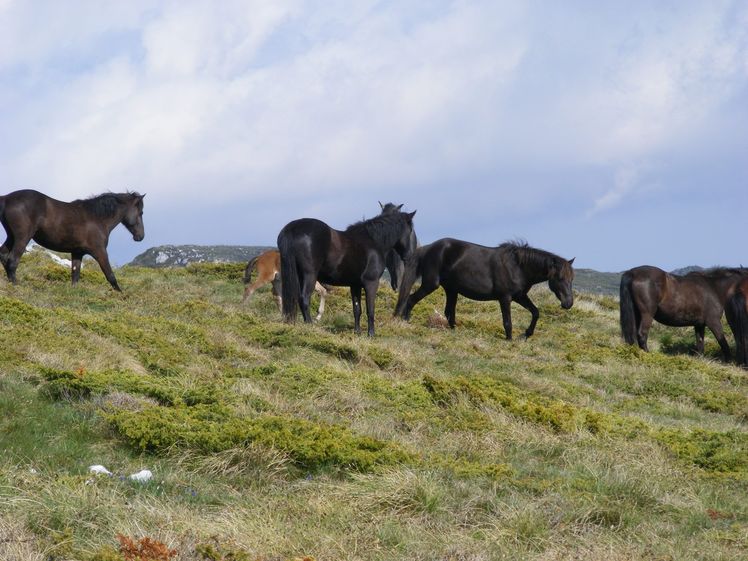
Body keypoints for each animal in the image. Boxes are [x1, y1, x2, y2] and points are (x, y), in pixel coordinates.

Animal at [0, 190, 145, 290]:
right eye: (141, 212)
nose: (141, 236)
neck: (97, 218)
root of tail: (6, 198)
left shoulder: (77, 253)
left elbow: (75, 276)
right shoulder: (100, 252)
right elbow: (110, 276)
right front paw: (122, 295)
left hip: (11, 237)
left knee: (4, 256)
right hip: (22, 238)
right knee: (12, 261)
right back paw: (16, 284)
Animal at [276, 208, 414, 334]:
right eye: (411, 231)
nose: (409, 256)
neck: (373, 242)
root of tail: (293, 228)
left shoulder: (355, 285)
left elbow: (357, 309)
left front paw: (357, 332)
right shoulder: (371, 283)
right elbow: (370, 309)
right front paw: (371, 334)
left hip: (299, 276)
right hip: (310, 275)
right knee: (304, 298)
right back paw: (310, 325)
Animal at [394, 240, 576, 340]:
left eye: (571, 279)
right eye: (560, 278)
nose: (568, 303)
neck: (517, 266)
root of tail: (428, 248)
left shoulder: (520, 296)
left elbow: (535, 312)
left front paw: (526, 334)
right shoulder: (505, 298)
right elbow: (507, 322)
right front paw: (509, 340)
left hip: (452, 290)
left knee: (449, 312)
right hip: (431, 284)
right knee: (411, 299)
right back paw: (406, 320)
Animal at [616, 262, 744, 358]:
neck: (714, 288)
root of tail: (632, 273)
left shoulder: (699, 324)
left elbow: (700, 344)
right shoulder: (713, 322)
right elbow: (723, 343)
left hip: (636, 314)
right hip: (647, 314)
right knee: (642, 334)